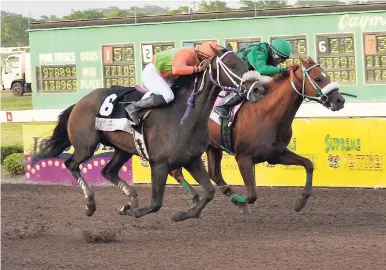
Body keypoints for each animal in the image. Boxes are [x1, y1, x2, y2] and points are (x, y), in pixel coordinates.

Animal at [32, 44, 266, 221]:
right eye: (232, 65)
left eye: (245, 64)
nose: (257, 89)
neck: (184, 115)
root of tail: (79, 102)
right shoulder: (159, 164)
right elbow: (156, 204)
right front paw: (134, 212)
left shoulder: (191, 160)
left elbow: (209, 192)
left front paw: (184, 214)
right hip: (86, 146)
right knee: (71, 164)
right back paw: (91, 203)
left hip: (122, 149)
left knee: (108, 171)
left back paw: (130, 199)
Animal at [172, 56, 346, 213]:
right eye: (318, 78)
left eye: (327, 76)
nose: (340, 100)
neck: (266, 114)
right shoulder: (244, 158)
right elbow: (252, 196)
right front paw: (240, 201)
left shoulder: (276, 154)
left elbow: (308, 164)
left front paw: (300, 202)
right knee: (178, 171)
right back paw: (198, 197)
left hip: (212, 147)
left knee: (214, 175)